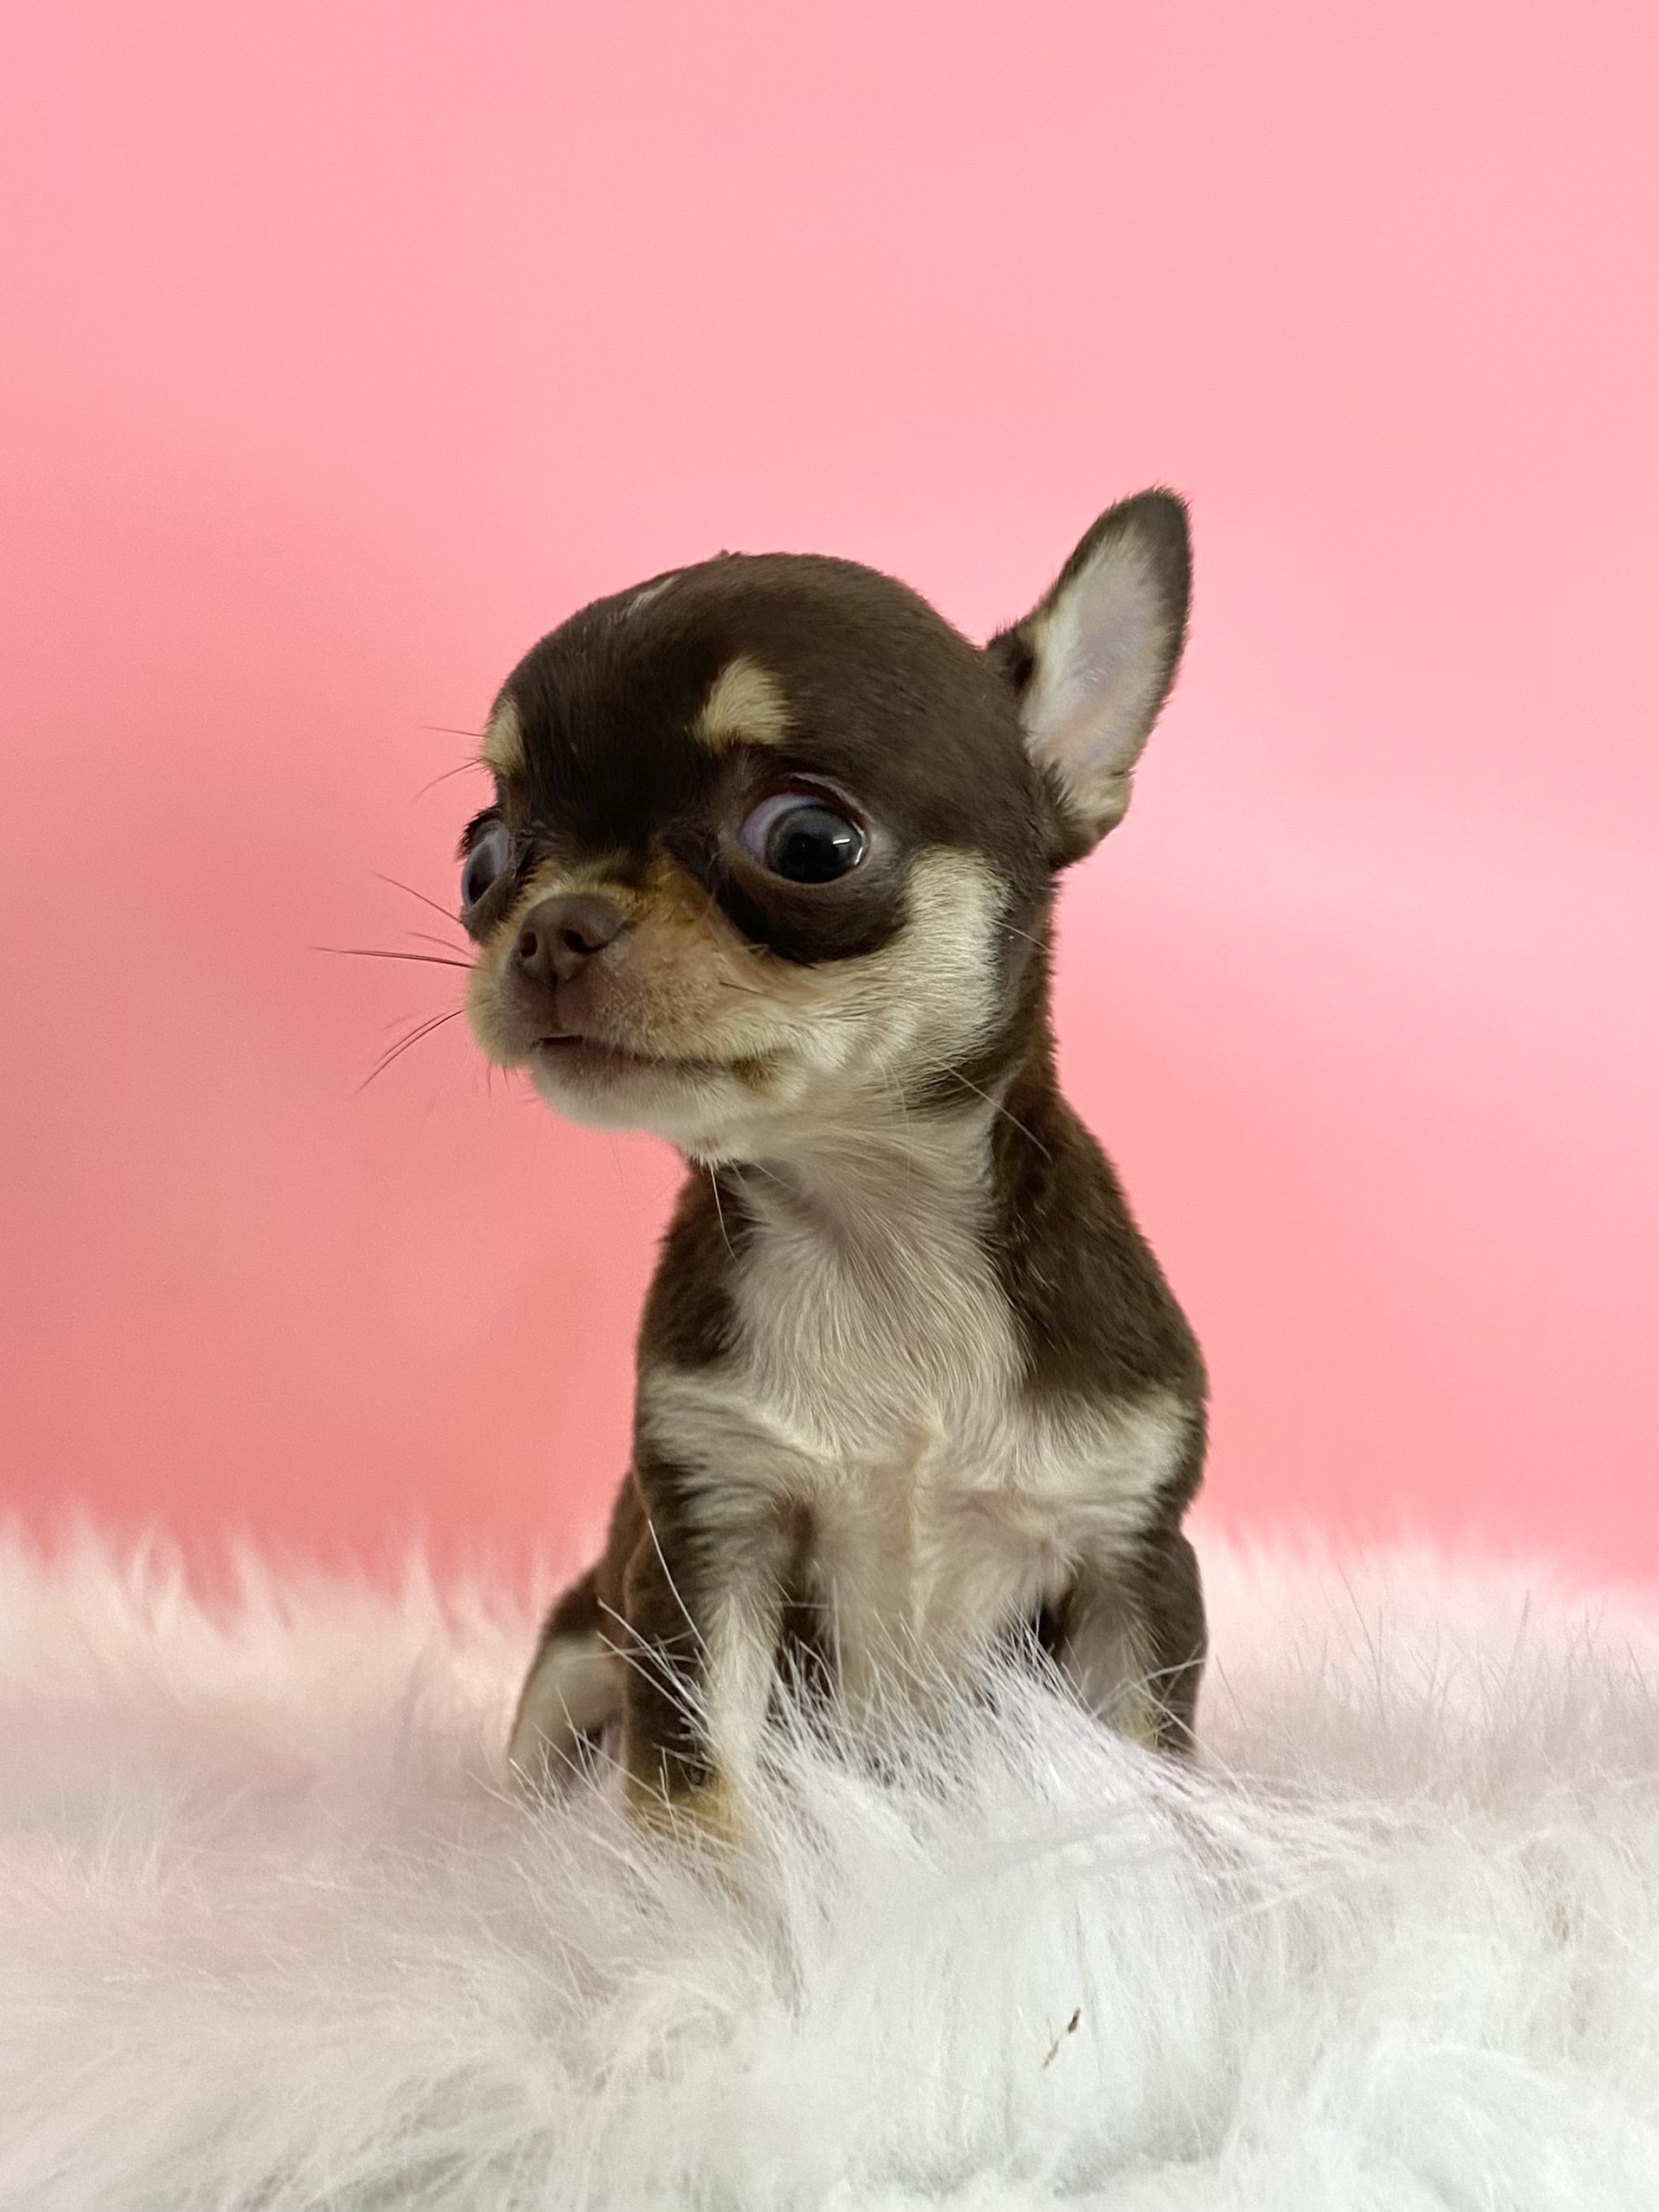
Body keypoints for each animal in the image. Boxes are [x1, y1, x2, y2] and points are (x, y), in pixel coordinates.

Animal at [460, 490, 1207, 1833]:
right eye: (483, 861)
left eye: (808, 840)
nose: (545, 926)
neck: (873, 1220)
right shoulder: (708, 1543)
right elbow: (697, 1792)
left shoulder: (1131, 1569)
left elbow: (1147, 1794)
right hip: (580, 1641)